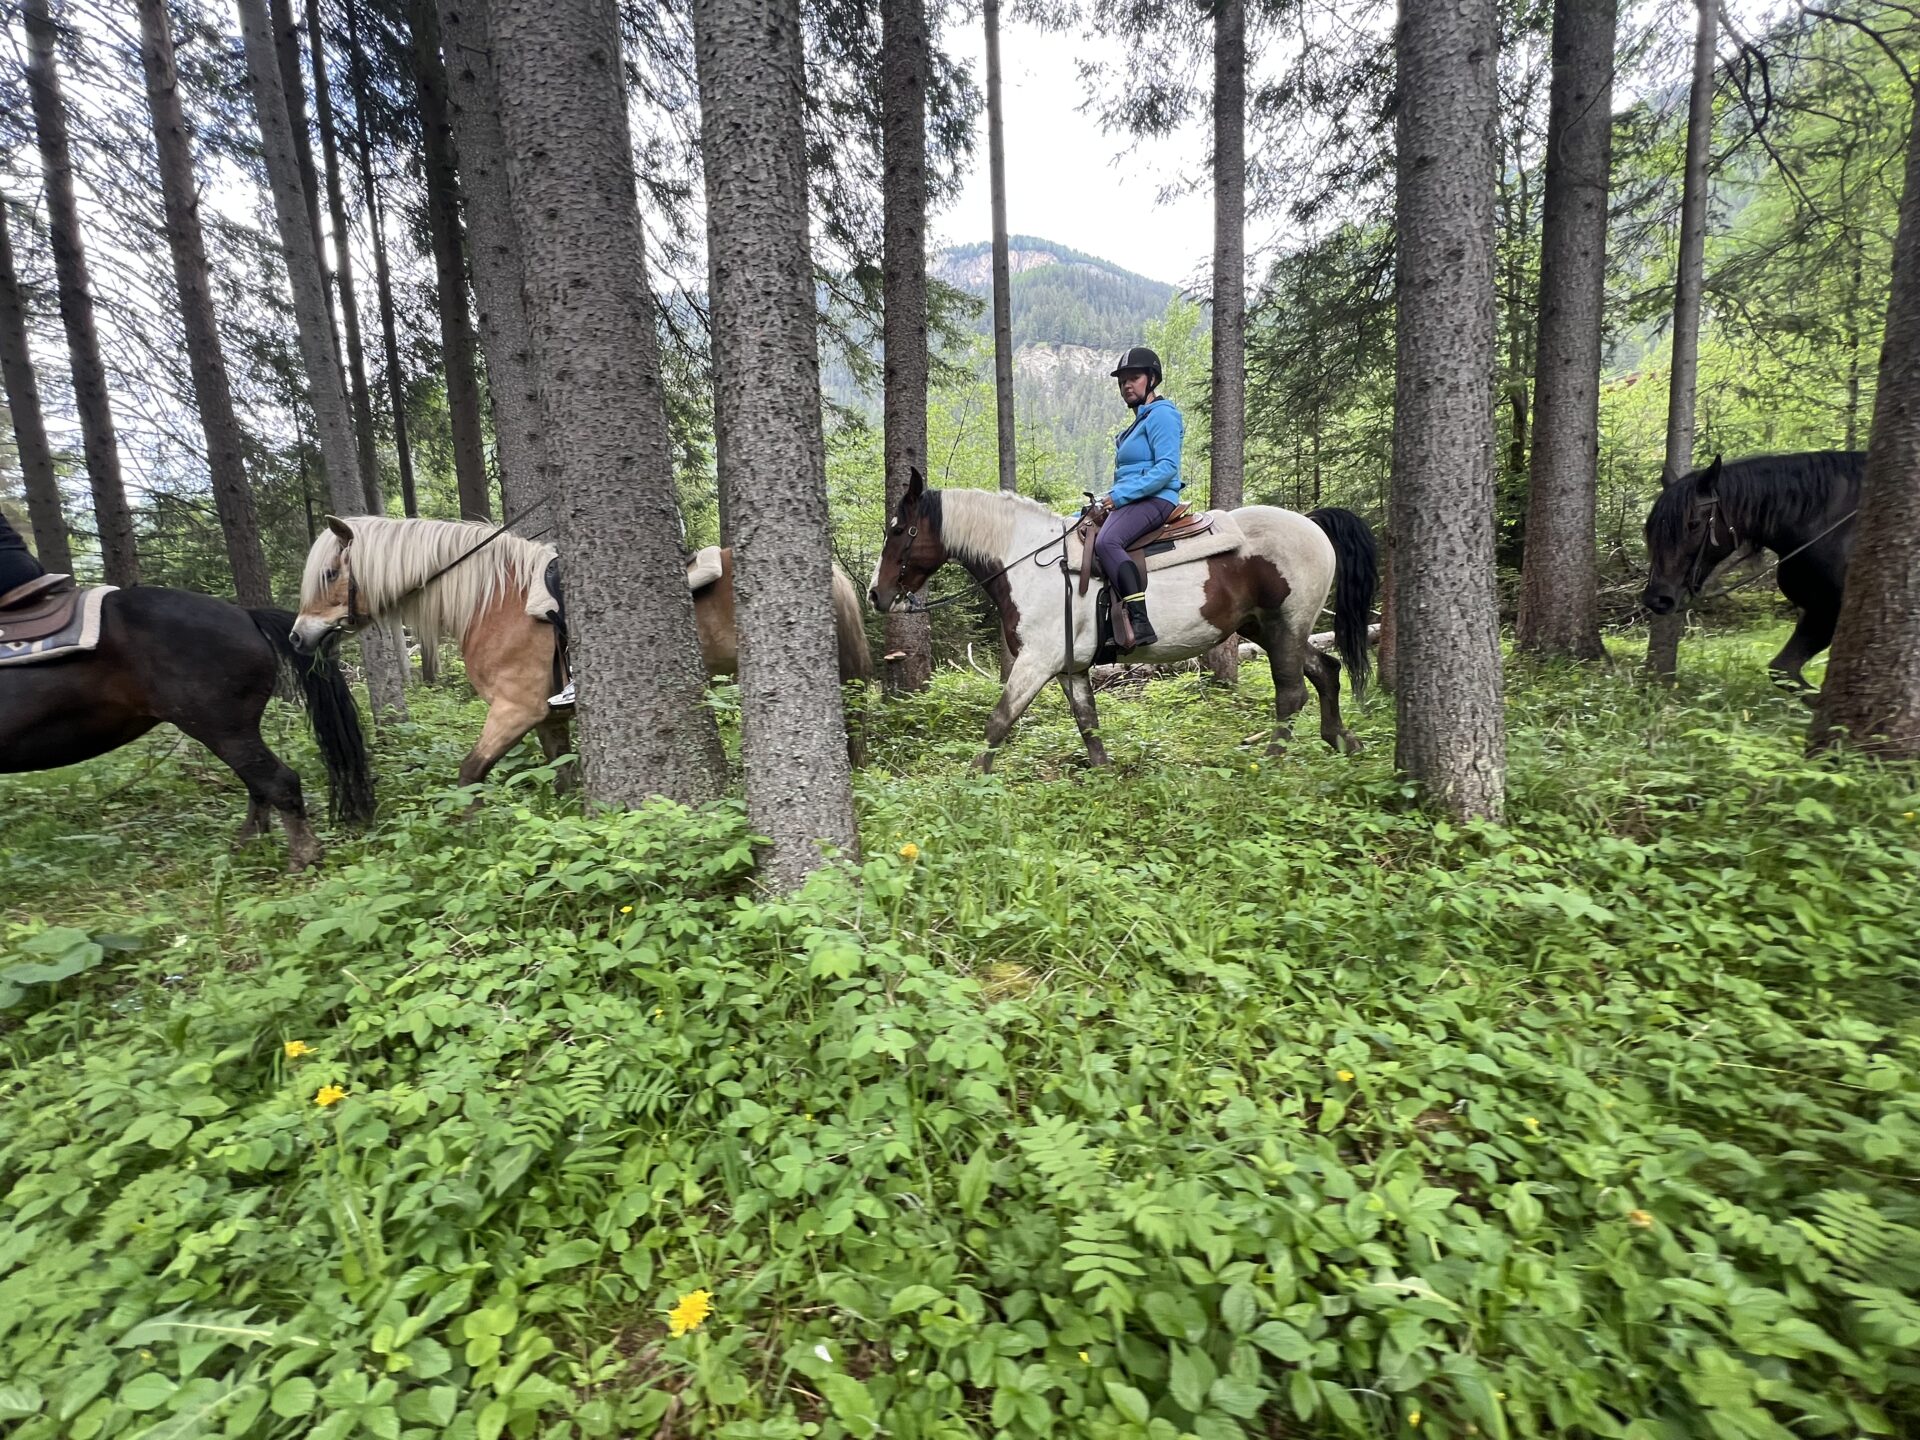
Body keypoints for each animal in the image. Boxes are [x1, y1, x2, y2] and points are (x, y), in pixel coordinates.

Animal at [0, 587, 374, 871]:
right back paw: (246, 849)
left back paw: (302, 858)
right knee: (259, 784)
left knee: (277, 781)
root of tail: (244, 614)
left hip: (220, 727)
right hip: (232, 730)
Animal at [291, 515, 874, 789]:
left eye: (330, 572)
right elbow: (561, 774)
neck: (492, 601)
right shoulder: (547, 719)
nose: (298, 637)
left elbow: (469, 773)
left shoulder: (514, 710)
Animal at [868, 470, 1377, 770]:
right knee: (1326, 670)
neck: (1033, 563)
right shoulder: (1069, 668)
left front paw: (971, 783)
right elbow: (1087, 721)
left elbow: (999, 721)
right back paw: (1341, 740)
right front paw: (1105, 774)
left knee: (1291, 693)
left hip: (1283, 625)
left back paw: (1270, 762)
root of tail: (1310, 523)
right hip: (1266, 629)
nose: (877, 594)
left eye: (897, 530)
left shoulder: (1035, 662)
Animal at [1642, 452, 1861, 688]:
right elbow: (1782, 671)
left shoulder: (1829, 613)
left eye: (1693, 523)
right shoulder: (1818, 611)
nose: (1657, 599)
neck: (1826, 524)